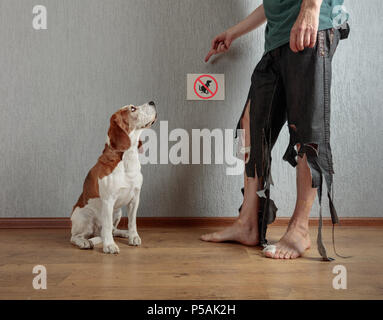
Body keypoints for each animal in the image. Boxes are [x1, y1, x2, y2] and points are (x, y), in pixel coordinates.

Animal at [71, 101, 157, 254]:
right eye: (132, 109)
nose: (152, 102)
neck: (128, 158)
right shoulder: (108, 201)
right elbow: (106, 227)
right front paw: (109, 245)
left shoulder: (135, 199)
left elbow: (132, 222)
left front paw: (133, 236)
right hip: (85, 216)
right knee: (76, 236)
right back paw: (84, 242)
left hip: (117, 212)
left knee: (112, 229)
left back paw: (124, 233)